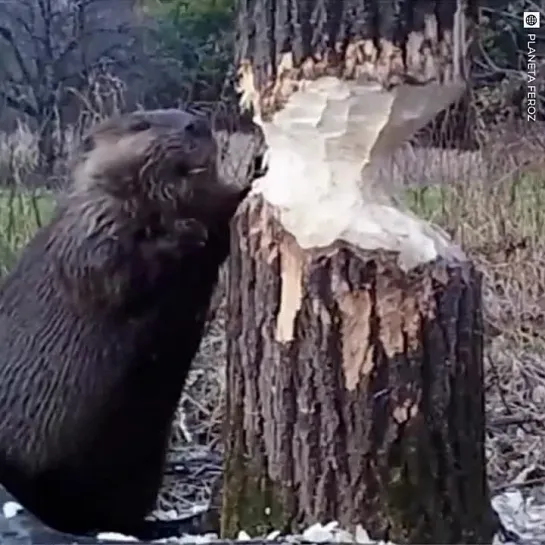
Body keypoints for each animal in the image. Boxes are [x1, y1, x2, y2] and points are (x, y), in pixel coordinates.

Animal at [0, 108, 268, 536]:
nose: (196, 124)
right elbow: (119, 268)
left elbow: (219, 214)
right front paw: (186, 230)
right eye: (140, 124)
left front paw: (256, 166)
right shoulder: (88, 228)